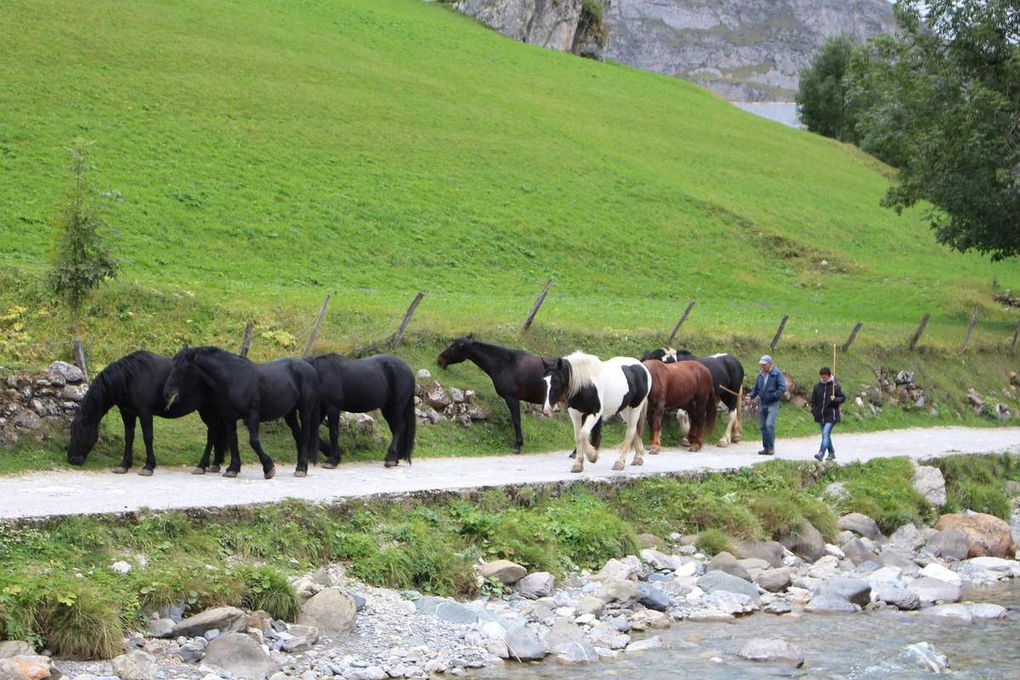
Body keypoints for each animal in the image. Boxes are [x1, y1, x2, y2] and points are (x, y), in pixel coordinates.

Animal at [67, 350, 227, 473]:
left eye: (80, 432)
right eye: (72, 431)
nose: (72, 459)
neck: (131, 378)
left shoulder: (145, 412)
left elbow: (147, 436)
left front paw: (149, 466)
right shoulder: (127, 413)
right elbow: (129, 437)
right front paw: (124, 465)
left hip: (208, 410)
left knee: (212, 432)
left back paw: (202, 465)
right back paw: (214, 464)